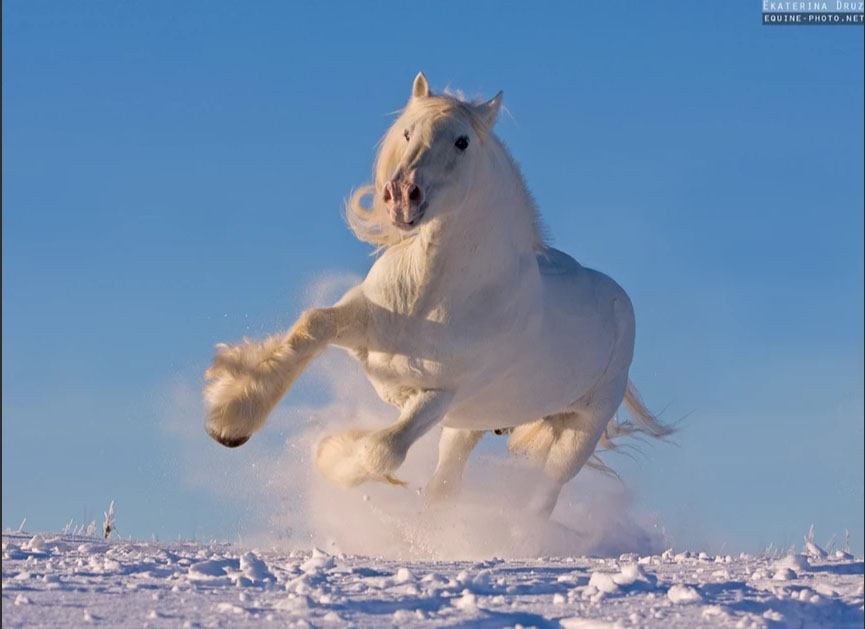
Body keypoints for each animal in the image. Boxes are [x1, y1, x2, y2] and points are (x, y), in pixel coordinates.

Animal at [204, 73, 668, 516]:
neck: (429, 298)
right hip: (468, 427)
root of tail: (618, 301)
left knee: (540, 499)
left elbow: (384, 450)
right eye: (409, 133)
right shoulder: (361, 322)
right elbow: (308, 328)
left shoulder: (441, 396)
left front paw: (329, 454)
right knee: (446, 487)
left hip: (577, 431)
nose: (401, 196)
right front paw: (230, 421)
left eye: (462, 141)